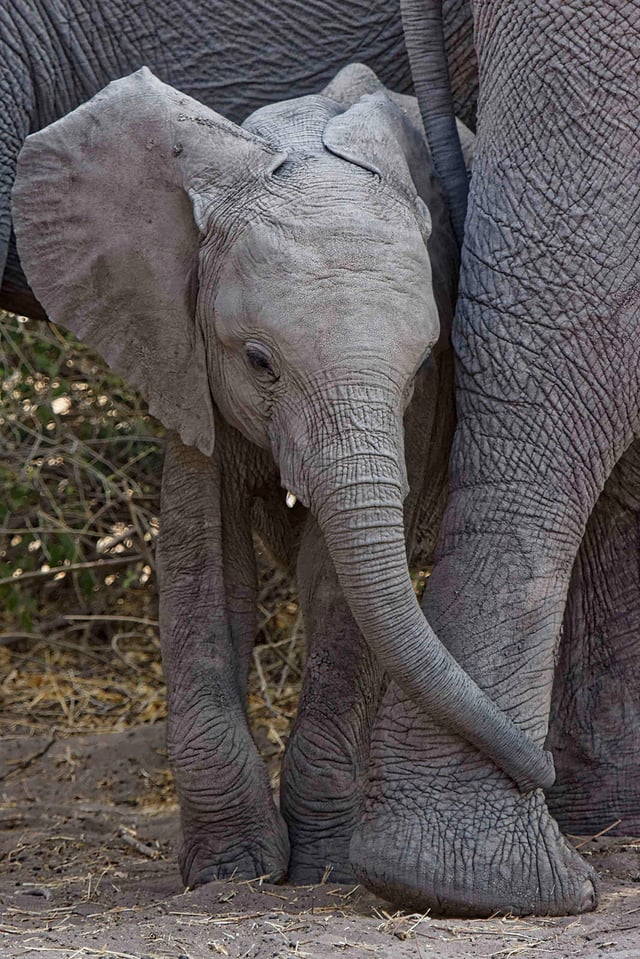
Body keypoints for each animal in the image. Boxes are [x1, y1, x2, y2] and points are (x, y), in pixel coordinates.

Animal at [11, 63, 552, 888]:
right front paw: (231, 870)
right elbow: (205, 562)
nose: (536, 774)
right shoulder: (182, 350)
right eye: (259, 361)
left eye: (421, 368)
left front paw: (323, 866)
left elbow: (337, 582)